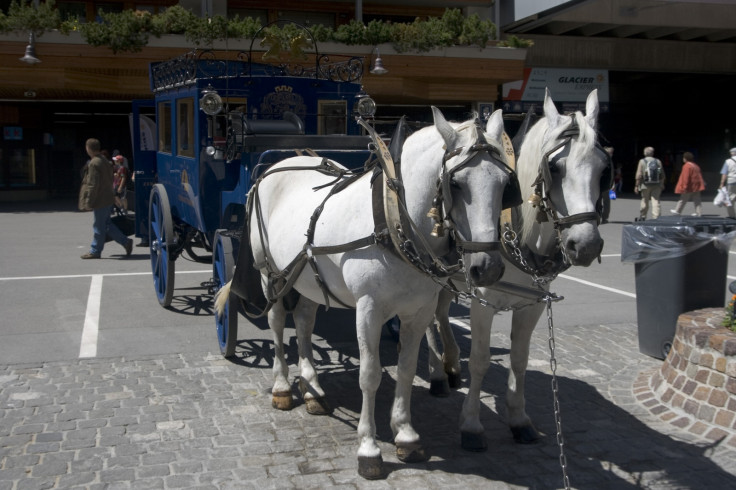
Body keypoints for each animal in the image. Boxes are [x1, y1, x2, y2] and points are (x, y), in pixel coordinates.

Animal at [217, 108, 516, 478]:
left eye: (505, 184)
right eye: (456, 184)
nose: (487, 268)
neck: (392, 218)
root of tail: (277, 165)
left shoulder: (419, 311)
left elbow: (406, 369)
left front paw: (406, 434)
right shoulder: (369, 309)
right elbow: (370, 375)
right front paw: (369, 448)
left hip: (307, 277)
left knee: (303, 322)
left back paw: (312, 388)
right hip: (268, 274)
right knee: (275, 322)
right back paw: (283, 386)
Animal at [428, 89, 608, 452]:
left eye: (602, 169)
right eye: (554, 167)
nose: (586, 245)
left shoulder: (532, 305)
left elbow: (520, 359)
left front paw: (519, 419)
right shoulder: (483, 303)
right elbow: (481, 359)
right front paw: (471, 425)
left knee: (440, 313)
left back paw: (451, 363)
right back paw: (437, 373)